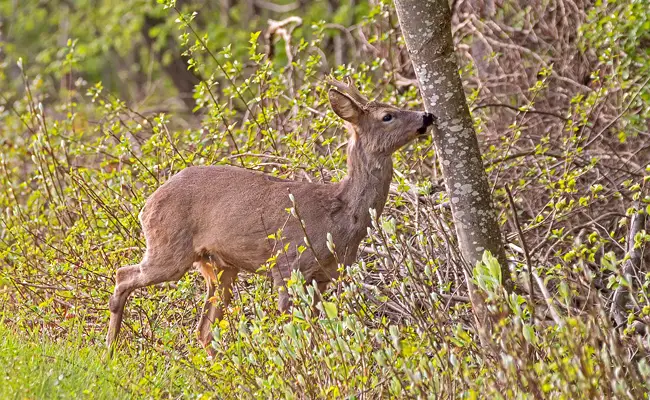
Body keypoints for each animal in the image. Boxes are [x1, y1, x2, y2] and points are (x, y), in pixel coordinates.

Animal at [106, 78, 432, 356]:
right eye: (388, 116)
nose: (427, 117)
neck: (338, 216)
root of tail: (146, 204)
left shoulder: (324, 276)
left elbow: (312, 331)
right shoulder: (288, 264)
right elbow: (293, 330)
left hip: (219, 266)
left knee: (204, 329)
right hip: (169, 247)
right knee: (123, 275)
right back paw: (109, 352)